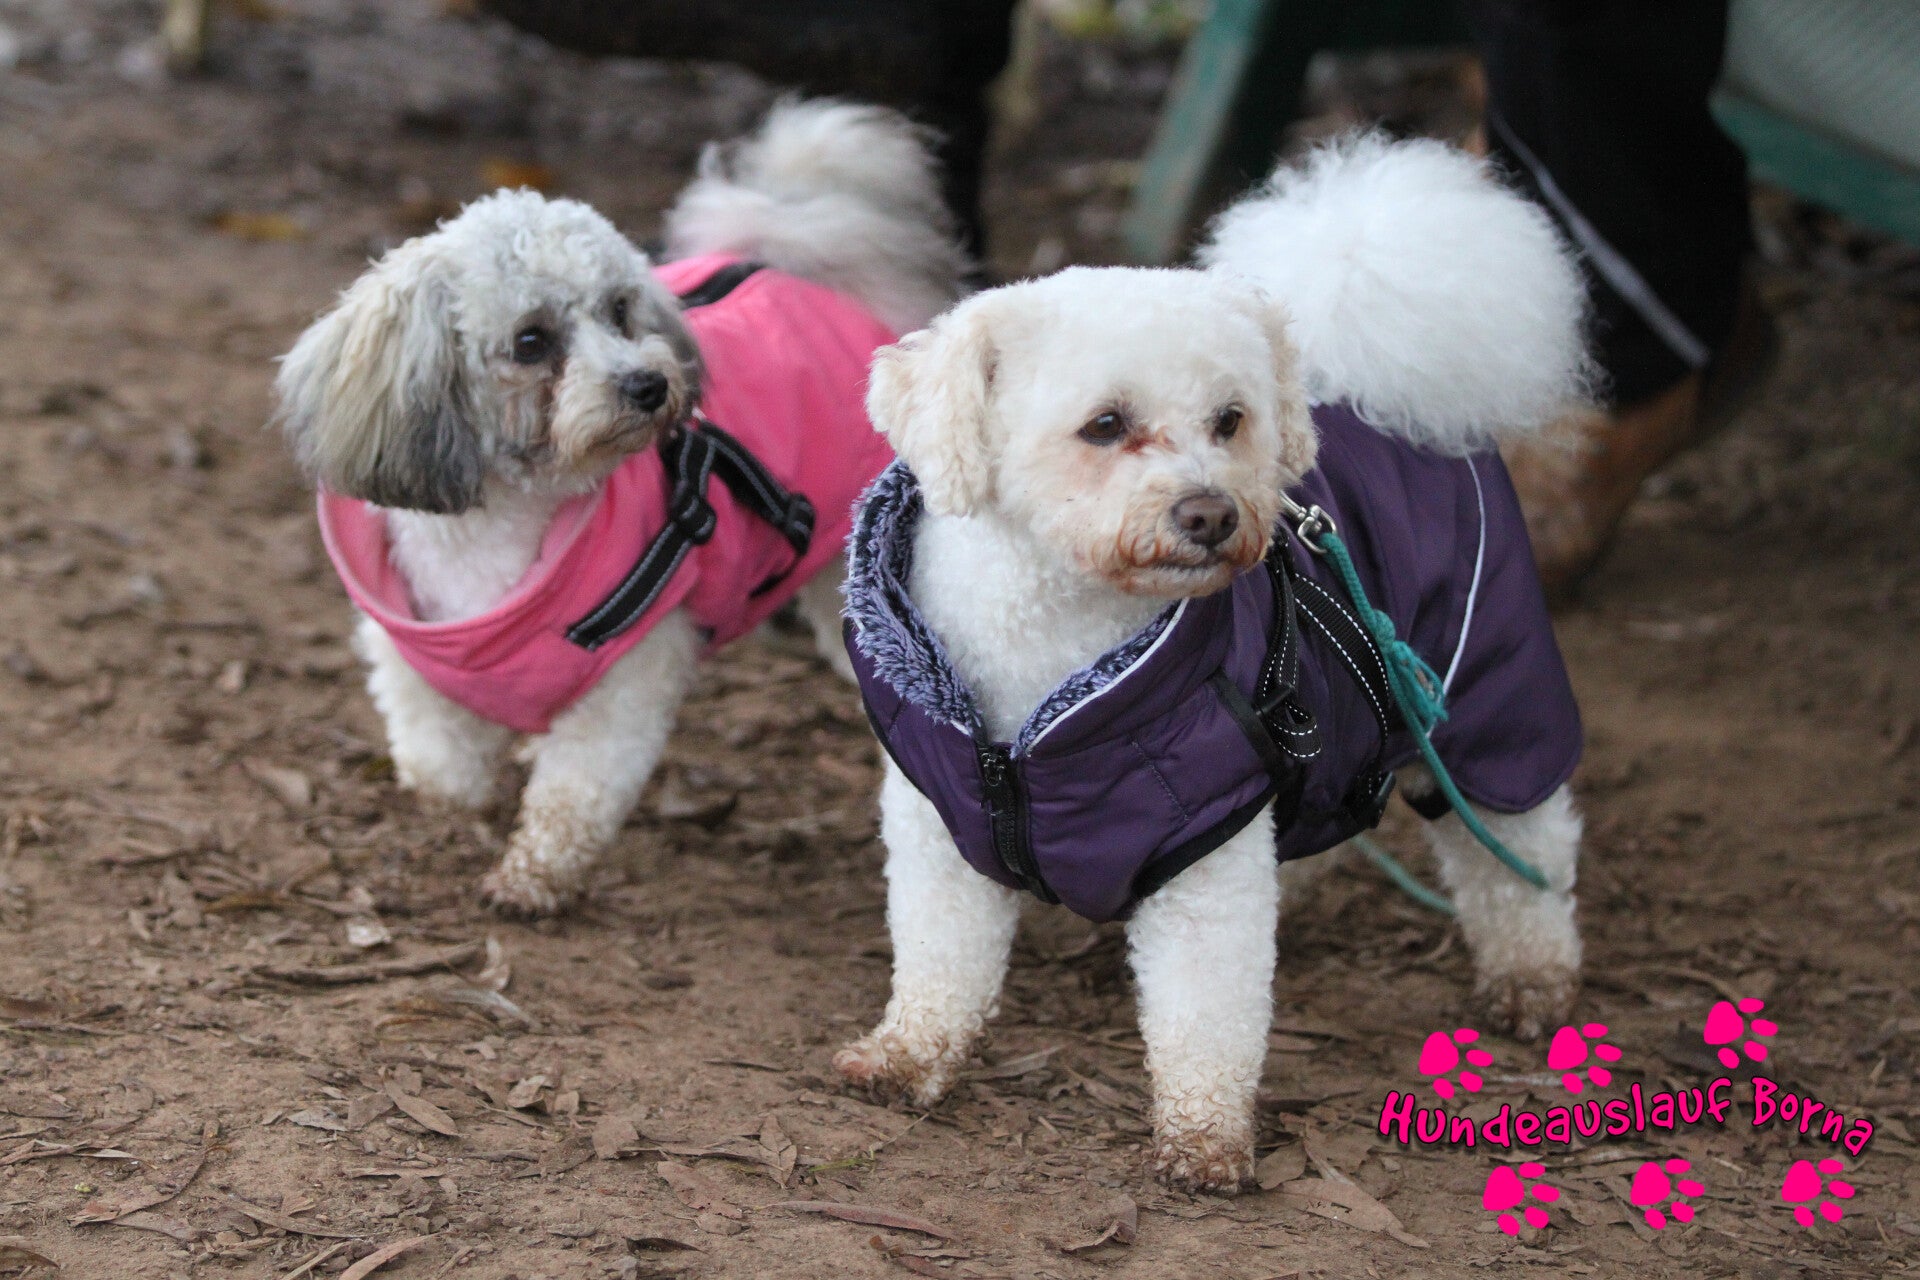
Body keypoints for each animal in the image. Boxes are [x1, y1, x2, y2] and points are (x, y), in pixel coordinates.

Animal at [275, 99, 969, 916]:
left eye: (620, 311)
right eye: (531, 340)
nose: (647, 384)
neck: (499, 534)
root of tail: (798, 254)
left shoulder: (630, 675)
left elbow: (573, 794)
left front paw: (530, 879)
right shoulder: (414, 667)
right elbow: (441, 761)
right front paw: (446, 821)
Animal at [834, 135, 1594, 1191]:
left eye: (1231, 419)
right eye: (1105, 424)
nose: (1213, 513)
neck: (1052, 667)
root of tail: (1392, 395)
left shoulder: (1203, 862)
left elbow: (1206, 1010)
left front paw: (1204, 1138)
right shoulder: (941, 830)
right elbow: (940, 957)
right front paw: (909, 1055)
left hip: (1485, 695)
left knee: (1523, 842)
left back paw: (1533, 974)